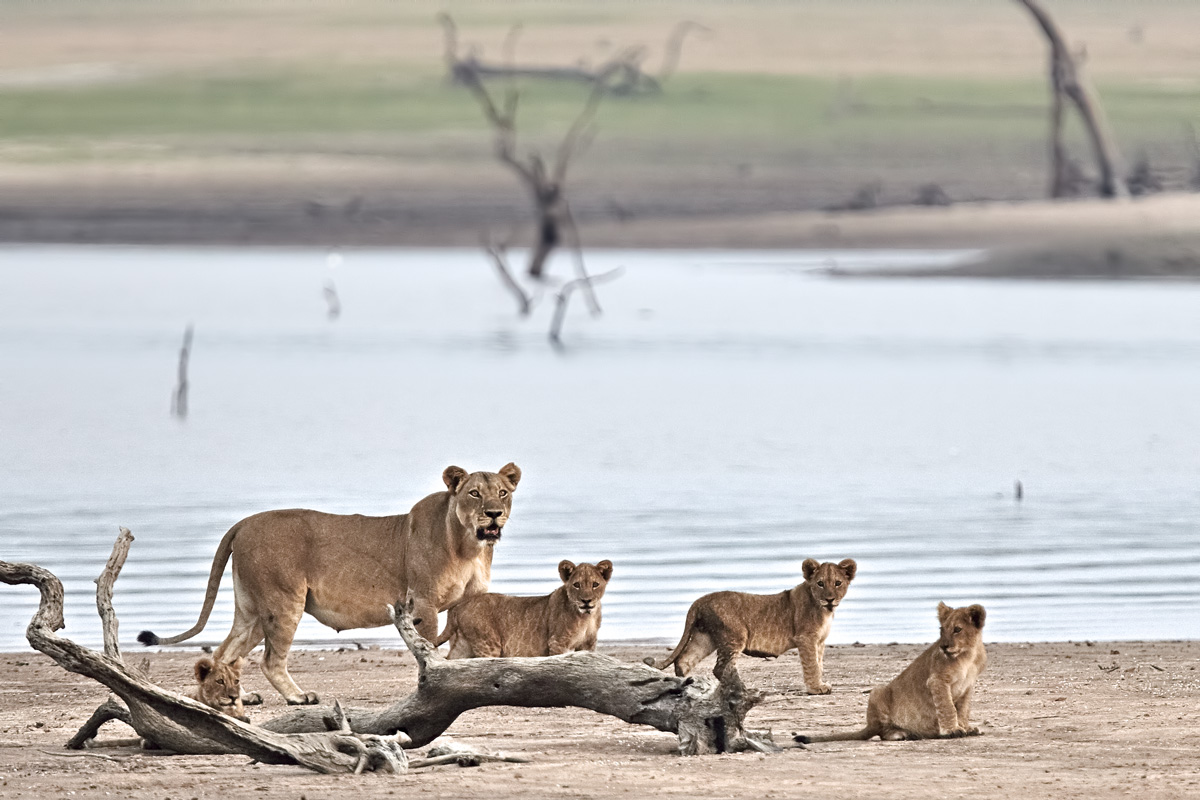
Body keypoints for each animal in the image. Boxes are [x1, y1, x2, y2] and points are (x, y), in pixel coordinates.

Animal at [138, 463, 521, 705]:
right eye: (474, 493)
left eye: (503, 492)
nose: (493, 514)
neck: (468, 546)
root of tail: (244, 522)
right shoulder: (423, 603)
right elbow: (428, 650)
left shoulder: (471, 601)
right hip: (283, 601)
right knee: (270, 660)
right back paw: (297, 697)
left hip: (251, 609)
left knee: (225, 652)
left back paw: (239, 696)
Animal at [436, 559, 613, 658]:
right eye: (576, 585)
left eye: (595, 584)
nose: (586, 601)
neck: (586, 617)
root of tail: (459, 605)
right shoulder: (557, 643)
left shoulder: (588, 645)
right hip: (487, 643)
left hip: (463, 644)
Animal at [645, 558, 856, 692]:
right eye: (820, 583)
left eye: (838, 583)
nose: (830, 599)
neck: (825, 610)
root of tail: (700, 600)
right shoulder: (806, 638)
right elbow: (812, 664)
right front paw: (816, 688)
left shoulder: (819, 641)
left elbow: (819, 663)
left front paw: (820, 684)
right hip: (734, 636)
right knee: (720, 669)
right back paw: (740, 689)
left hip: (704, 637)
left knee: (684, 660)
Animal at [795, 602, 987, 743]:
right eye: (942, 630)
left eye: (957, 629)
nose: (944, 646)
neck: (967, 656)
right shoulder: (937, 680)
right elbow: (948, 707)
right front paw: (952, 730)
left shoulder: (967, 686)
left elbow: (963, 709)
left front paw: (966, 728)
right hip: (878, 691)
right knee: (881, 732)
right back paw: (901, 733)